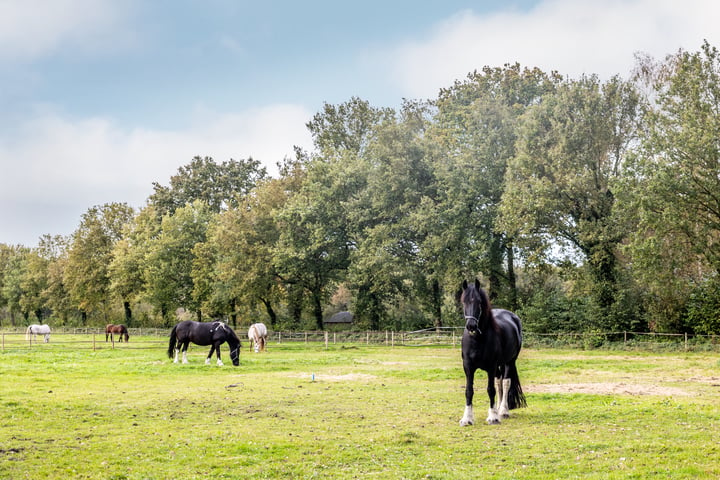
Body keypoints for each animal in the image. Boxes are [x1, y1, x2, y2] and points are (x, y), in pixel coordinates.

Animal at [458, 280, 524, 426]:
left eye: (479, 302)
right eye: (464, 302)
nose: (471, 326)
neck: (477, 340)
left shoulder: (491, 366)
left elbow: (491, 390)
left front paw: (493, 417)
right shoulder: (468, 367)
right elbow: (469, 391)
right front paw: (467, 418)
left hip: (509, 362)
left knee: (505, 383)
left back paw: (503, 411)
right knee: (499, 382)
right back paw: (498, 408)